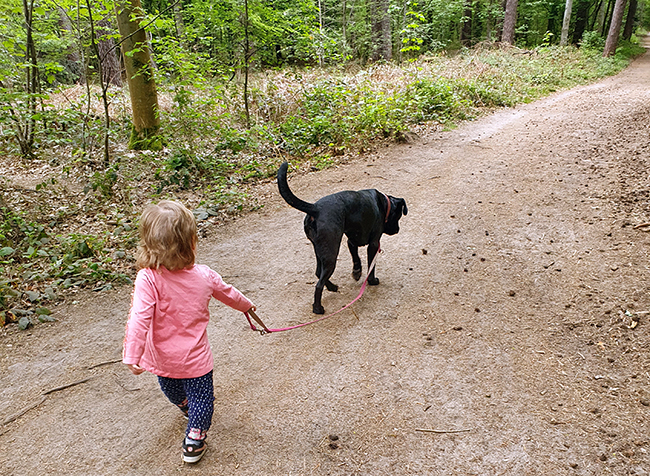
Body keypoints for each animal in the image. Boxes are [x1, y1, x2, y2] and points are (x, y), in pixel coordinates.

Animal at [278, 162, 408, 314]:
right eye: (399, 216)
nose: (397, 230)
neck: (384, 204)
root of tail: (315, 208)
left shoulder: (351, 241)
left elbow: (356, 258)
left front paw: (357, 272)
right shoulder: (374, 244)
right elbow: (371, 265)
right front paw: (372, 280)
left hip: (320, 251)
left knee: (318, 272)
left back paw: (332, 287)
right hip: (331, 253)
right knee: (318, 284)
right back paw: (318, 308)